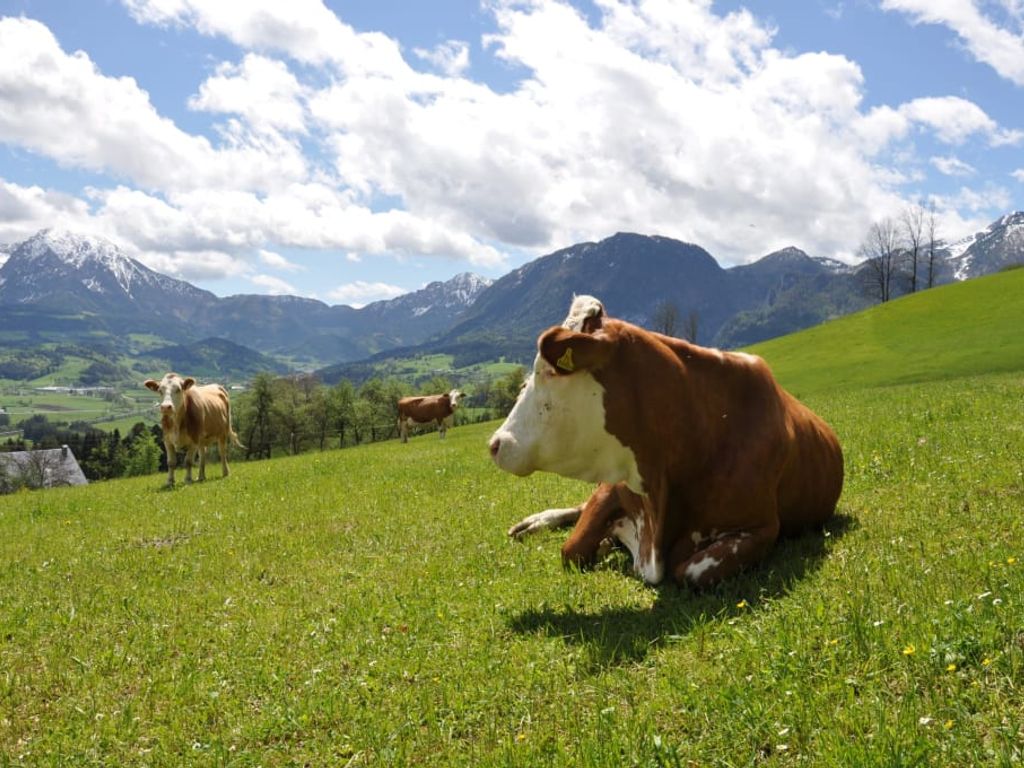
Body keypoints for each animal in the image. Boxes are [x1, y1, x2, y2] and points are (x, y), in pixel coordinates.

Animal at [488, 295, 843, 588]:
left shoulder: (762, 526)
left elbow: (690, 572)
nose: (495, 443)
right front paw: (596, 539)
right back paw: (535, 523)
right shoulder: (615, 486)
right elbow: (572, 547)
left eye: (548, 372)